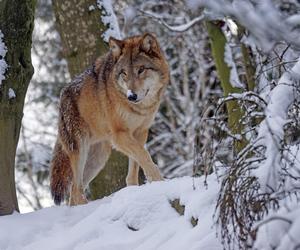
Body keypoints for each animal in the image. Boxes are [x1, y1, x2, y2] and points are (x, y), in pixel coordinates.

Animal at [50, 32, 170, 205]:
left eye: (141, 70)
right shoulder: (120, 135)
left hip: (98, 158)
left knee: (74, 191)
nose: (131, 96)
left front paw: (135, 190)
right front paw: (160, 182)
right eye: (124, 73)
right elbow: (145, 156)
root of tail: (62, 95)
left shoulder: (140, 132)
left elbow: (135, 165)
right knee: (76, 190)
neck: (140, 108)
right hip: (80, 150)